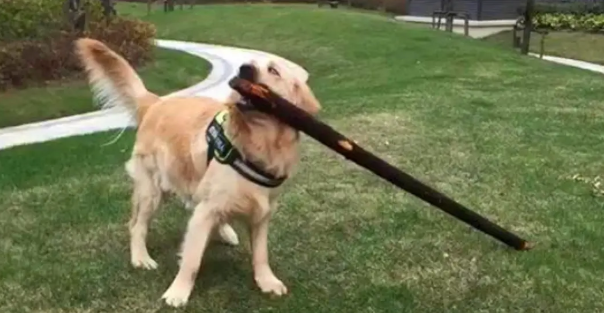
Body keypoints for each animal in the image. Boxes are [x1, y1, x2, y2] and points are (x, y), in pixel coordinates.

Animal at [76, 37, 320, 306]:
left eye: (274, 70)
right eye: (248, 64)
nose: (244, 68)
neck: (255, 144)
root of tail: (157, 101)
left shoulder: (262, 212)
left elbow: (261, 253)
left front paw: (267, 281)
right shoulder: (206, 212)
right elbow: (192, 259)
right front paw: (177, 293)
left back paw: (226, 232)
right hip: (152, 189)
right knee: (136, 225)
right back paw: (141, 258)